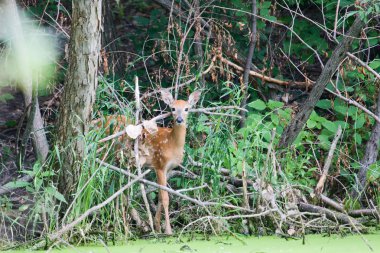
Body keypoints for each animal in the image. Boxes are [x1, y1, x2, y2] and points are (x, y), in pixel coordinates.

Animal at [96, 90, 200, 234]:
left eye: (186, 109)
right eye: (173, 108)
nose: (179, 120)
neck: (172, 144)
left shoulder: (167, 168)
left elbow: (160, 197)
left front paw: (157, 226)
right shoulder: (160, 164)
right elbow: (165, 198)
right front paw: (168, 230)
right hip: (106, 150)